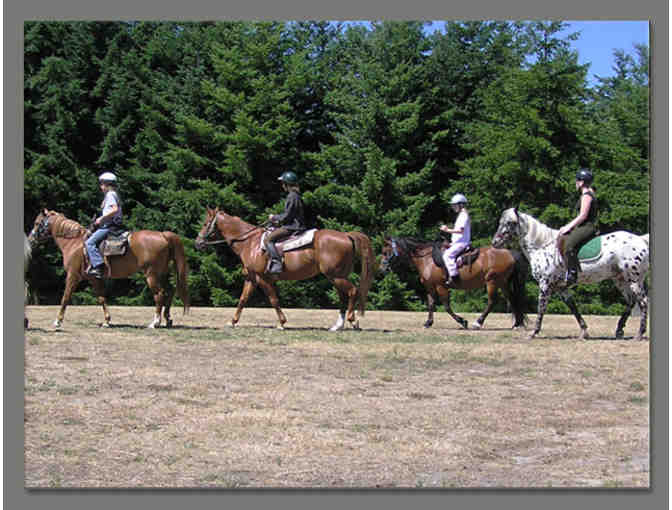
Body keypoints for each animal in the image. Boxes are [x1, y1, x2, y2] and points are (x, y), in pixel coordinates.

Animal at [26, 209, 189, 328]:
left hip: (152, 275)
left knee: (160, 294)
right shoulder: (93, 278)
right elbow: (101, 298)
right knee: (170, 291)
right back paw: (168, 319)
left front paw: (58, 321)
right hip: (162, 274)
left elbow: (65, 297)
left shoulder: (73, 275)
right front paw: (107, 321)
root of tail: (163, 235)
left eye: (36, 223)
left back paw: (155, 322)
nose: (30, 239)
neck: (74, 243)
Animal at [194, 207, 376, 330]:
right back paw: (337, 325)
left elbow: (273, 299)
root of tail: (346, 235)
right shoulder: (251, 278)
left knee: (353, 291)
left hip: (336, 276)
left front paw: (282, 323)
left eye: (205, 223)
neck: (250, 242)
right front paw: (232, 321)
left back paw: (353, 320)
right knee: (343, 297)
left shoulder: (263, 279)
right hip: (337, 276)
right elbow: (243, 299)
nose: (198, 242)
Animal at [378, 236, 532, 328]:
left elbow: (446, 306)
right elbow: (431, 304)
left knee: (492, 302)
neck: (427, 260)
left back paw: (478, 322)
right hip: (502, 283)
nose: (382, 268)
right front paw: (428, 322)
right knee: (512, 299)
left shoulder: (441, 286)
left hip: (492, 281)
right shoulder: (430, 287)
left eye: (385, 252)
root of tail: (509, 253)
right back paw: (517, 323)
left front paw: (462, 321)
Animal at [490, 207, 648, 342]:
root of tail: (641, 239)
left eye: (511, 223)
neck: (542, 247)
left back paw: (639, 334)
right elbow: (572, 307)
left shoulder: (545, 284)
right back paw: (619, 330)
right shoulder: (561, 288)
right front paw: (584, 332)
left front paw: (534, 332)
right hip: (620, 279)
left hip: (634, 280)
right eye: (501, 222)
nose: (495, 242)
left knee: (643, 302)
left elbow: (541, 308)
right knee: (631, 301)